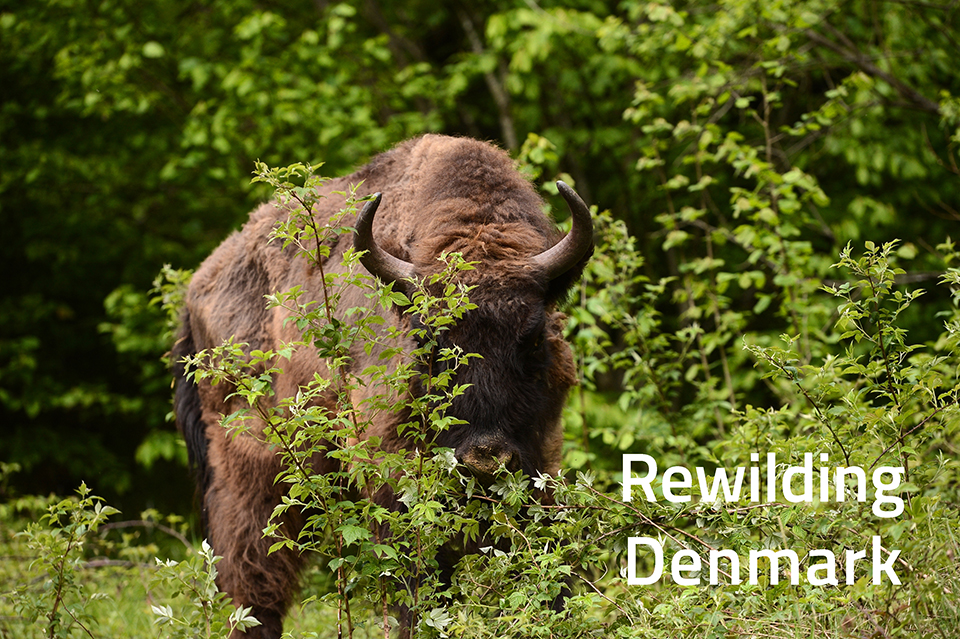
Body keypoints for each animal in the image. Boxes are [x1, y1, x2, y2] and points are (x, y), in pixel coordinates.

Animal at [172, 134, 592, 636]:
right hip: (255, 454)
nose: (485, 458)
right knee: (249, 560)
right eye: (429, 340)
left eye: (532, 337)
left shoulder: (541, 453)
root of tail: (199, 289)